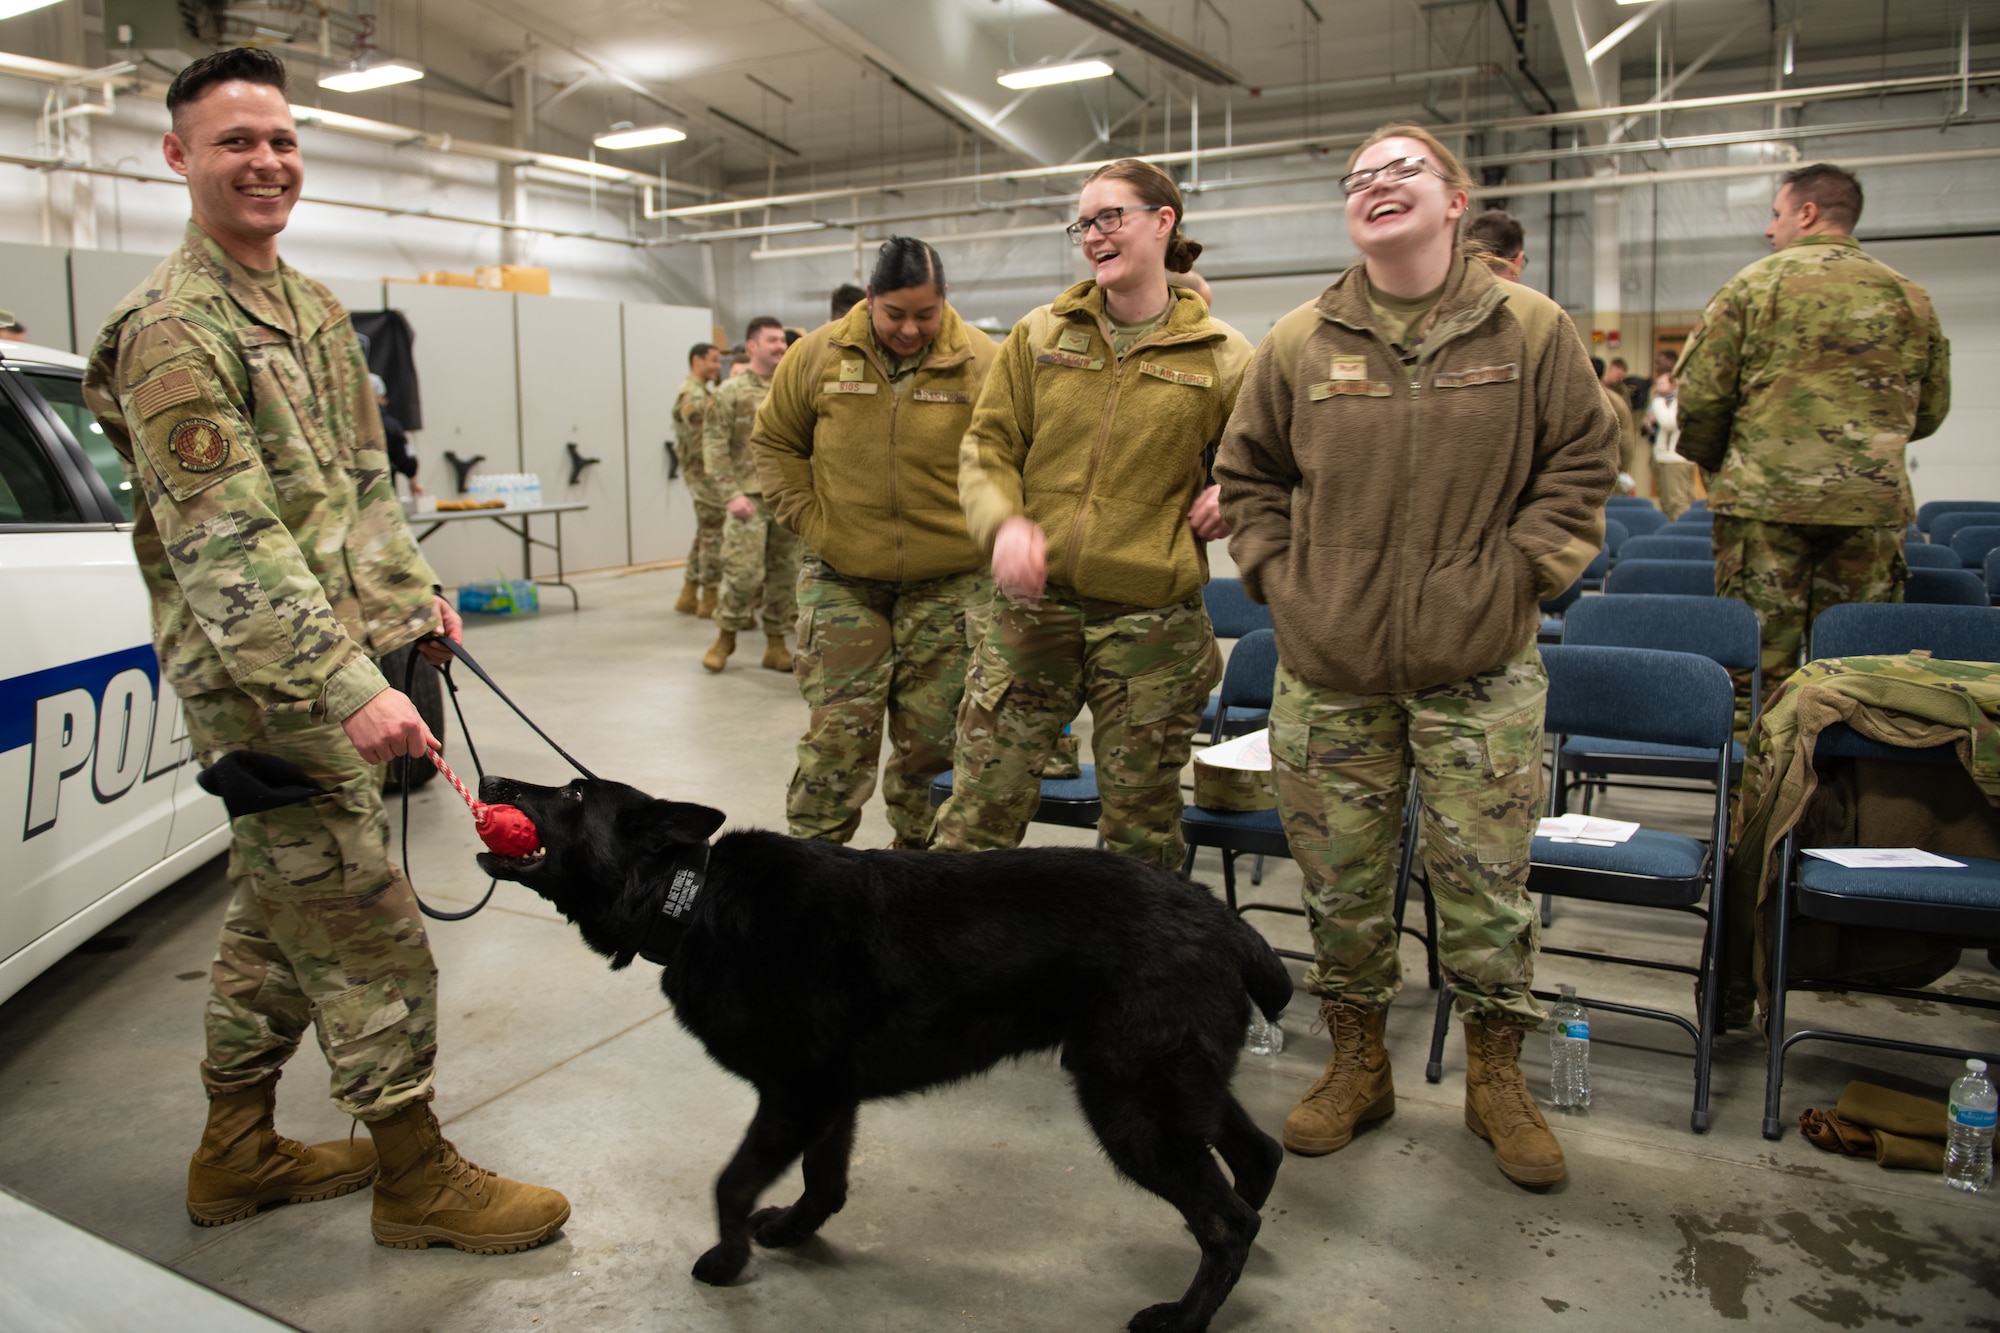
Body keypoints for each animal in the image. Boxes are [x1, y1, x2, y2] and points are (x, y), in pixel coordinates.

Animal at [486, 768, 1296, 1328]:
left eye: (574, 793)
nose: (491, 781)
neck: (691, 896)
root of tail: (1226, 921)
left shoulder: (794, 1097)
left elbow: (730, 1183)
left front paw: (728, 1258)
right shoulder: (828, 1101)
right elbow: (825, 1183)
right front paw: (792, 1230)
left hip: (1131, 1107)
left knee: (1227, 1219)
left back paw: (1186, 1314)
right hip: (1170, 1091)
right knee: (1255, 1161)